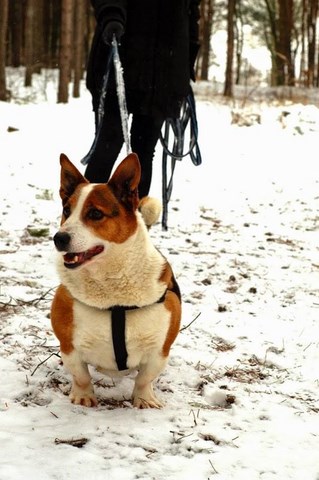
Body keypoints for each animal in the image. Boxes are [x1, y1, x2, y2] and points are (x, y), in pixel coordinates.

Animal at [51, 153, 182, 408]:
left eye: (95, 214)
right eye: (66, 210)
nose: (59, 238)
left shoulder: (160, 350)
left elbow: (145, 377)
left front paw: (144, 398)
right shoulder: (69, 347)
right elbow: (81, 375)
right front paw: (83, 396)